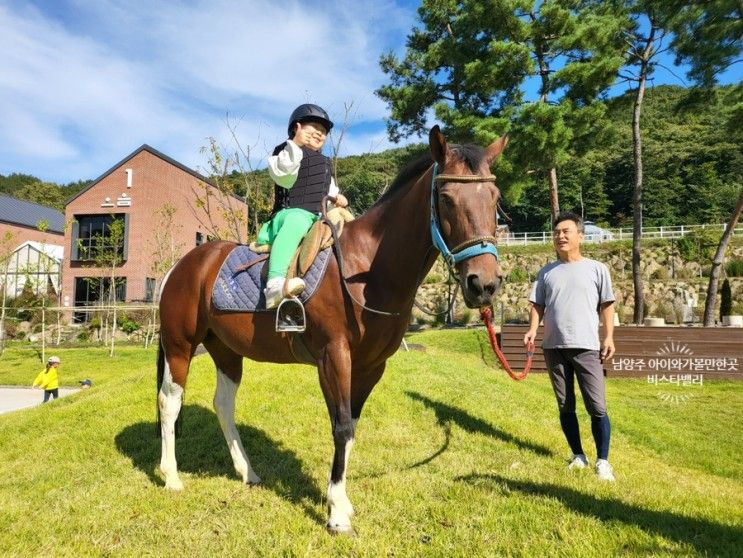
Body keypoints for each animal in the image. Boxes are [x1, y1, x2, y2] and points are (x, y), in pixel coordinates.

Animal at [155, 124, 506, 536]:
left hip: (226, 350)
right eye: (447, 198)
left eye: (495, 198)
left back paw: (247, 472)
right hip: (180, 345)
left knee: (223, 405)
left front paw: (341, 501)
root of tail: (183, 264)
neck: (365, 268)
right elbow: (340, 427)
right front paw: (337, 514)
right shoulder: (333, 356)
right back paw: (171, 476)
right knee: (170, 402)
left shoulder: (371, 366)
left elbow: (351, 425)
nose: (484, 284)